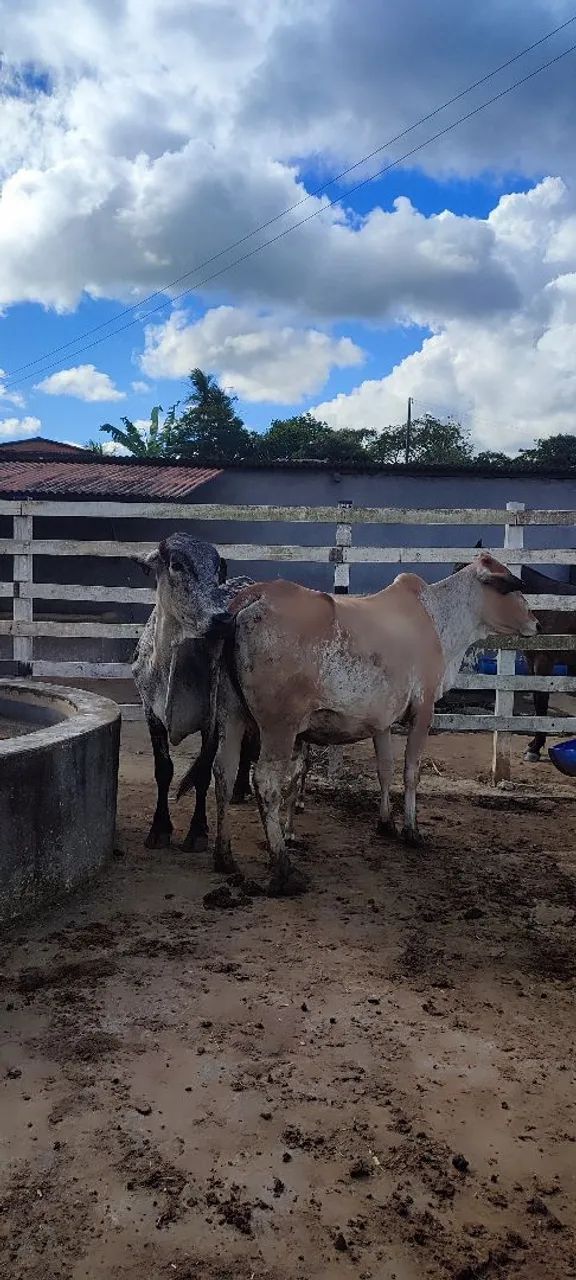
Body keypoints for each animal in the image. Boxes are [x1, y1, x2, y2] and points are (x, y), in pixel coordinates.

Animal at [132, 533, 255, 851]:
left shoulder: (213, 721)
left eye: (216, 569)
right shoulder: (151, 712)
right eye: (176, 565)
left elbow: (201, 775)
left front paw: (197, 832)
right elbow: (163, 770)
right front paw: (159, 829)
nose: (223, 619)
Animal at [181, 552, 539, 895]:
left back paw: (224, 857)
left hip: (231, 715)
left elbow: (386, 770)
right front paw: (411, 830)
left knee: (223, 773)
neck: (439, 618)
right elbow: (411, 772)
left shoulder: (381, 722)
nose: (535, 623)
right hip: (279, 727)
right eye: (513, 586)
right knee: (266, 782)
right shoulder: (423, 711)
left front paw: (385, 823)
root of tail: (255, 595)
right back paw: (283, 869)